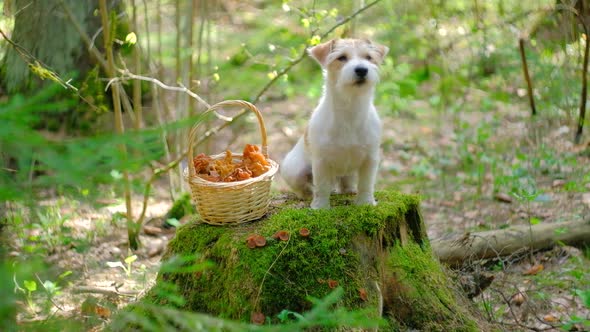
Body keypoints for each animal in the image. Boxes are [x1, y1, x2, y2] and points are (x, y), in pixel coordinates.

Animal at [280, 39, 388, 209]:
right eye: (341, 57)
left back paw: (349, 190)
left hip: (349, 172)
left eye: (368, 57)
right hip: (294, 171)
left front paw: (366, 203)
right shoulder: (321, 161)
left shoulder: (370, 158)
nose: (362, 70)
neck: (350, 108)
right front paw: (320, 207)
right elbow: (322, 186)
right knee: (305, 188)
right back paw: (309, 195)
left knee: (346, 182)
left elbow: (366, 184)